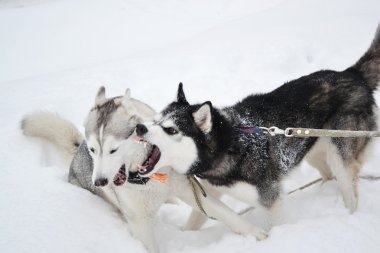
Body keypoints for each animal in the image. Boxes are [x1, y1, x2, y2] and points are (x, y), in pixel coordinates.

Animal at [21, 86, 268, 251]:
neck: (148, 177)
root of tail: (74, 158)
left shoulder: (190, 191)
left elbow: (228, 215)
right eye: (93, 149)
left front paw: (260, 235)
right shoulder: (139, 222)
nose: (99, 181)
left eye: (113, 150)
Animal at [134, 24, 380, 230]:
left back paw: (347, 216)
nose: (139, 128)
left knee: (348, 185)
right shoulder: (212, 192)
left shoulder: (272, 200)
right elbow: (195, 221)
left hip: (339, 152)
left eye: (171, 130)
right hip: (312, 151)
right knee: (329, 174)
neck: (230, 144)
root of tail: (352, 74)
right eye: (155, 120)